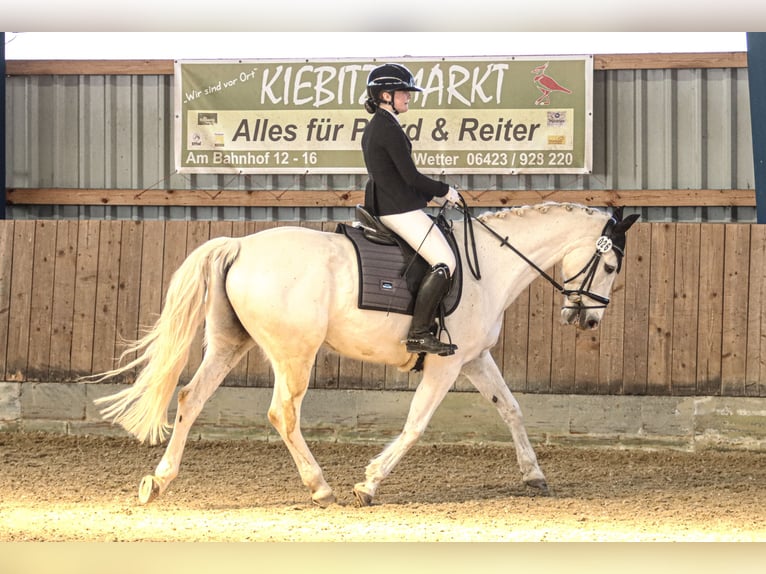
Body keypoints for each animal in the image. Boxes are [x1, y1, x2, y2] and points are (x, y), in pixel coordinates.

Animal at [93, 201, 639, 507]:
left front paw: (535, 475)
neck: (490, 264)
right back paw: (321, 487)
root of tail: (241, 246)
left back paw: (159, 482)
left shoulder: (475, 358)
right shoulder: (446, 363)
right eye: (611, 265)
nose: (587, 320)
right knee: (282, 413)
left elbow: (511, 409)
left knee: (191, 398)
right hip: (294, 354)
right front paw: (369, 484)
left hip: (231, 344)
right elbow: (416, 424)